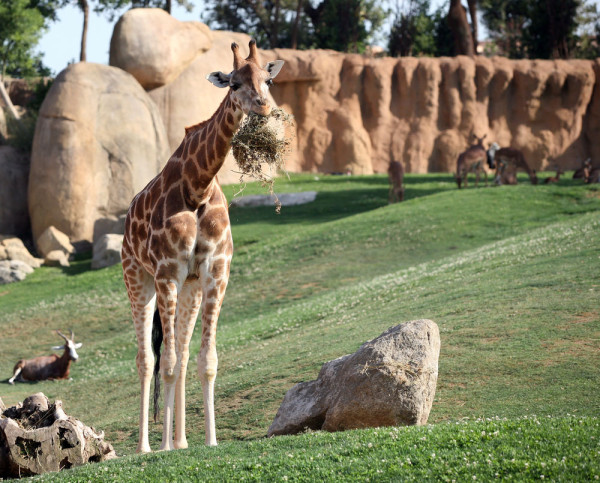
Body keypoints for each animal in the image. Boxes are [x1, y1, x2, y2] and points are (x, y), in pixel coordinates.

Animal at [122, 38, 286, 454]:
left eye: (267, 80)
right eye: (233, 83)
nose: (263, 108)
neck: (197, 186)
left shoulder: (215, 270)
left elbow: (205, 359)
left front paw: (210, 441)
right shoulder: (166, 272)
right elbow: (164, 362)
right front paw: (163, 447)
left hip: (190, 288)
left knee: (179, 355)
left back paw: (181, 442)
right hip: (137, 278)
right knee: (147, 359)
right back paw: (149, 446)